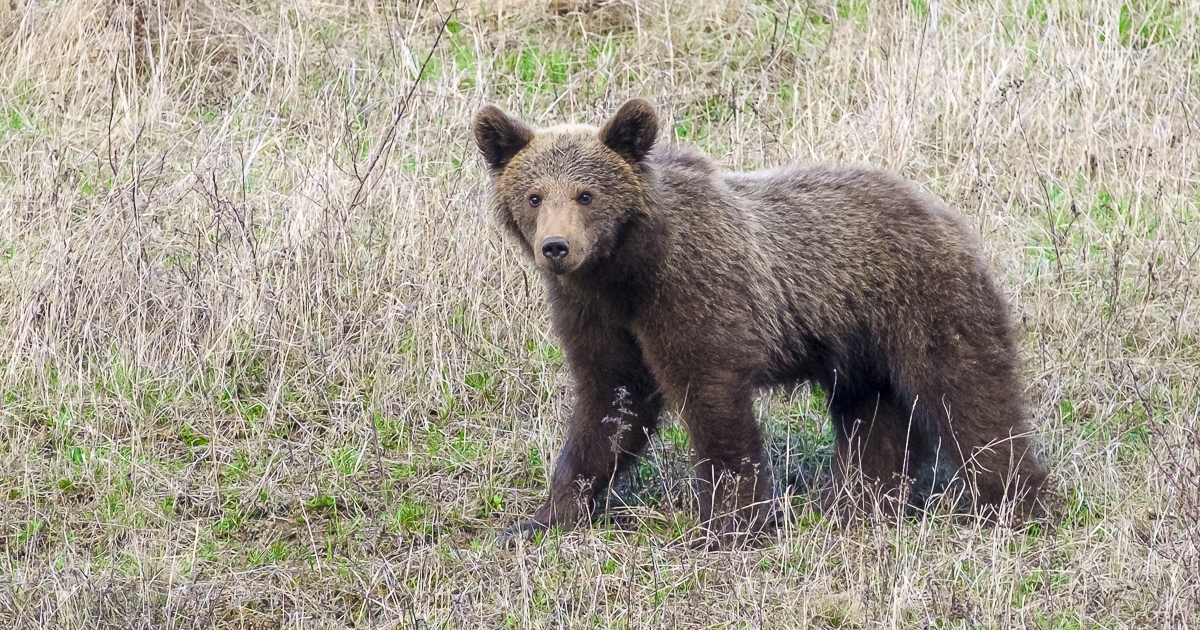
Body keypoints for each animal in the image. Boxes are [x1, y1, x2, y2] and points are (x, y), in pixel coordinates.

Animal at [472, 98, 1046, 540]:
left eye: (586, 194)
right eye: (534, 195)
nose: (556, 247)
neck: (625, 271)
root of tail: (943, 211)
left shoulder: (692, 293)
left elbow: (713, 402)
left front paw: (730, 523)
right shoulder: (596, 315)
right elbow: (610, 404)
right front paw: (542, 518)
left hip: (921, 303)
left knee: (970, 395)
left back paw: (1014, 504)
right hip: (860, 343)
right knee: (872, 416)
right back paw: (859, 502)